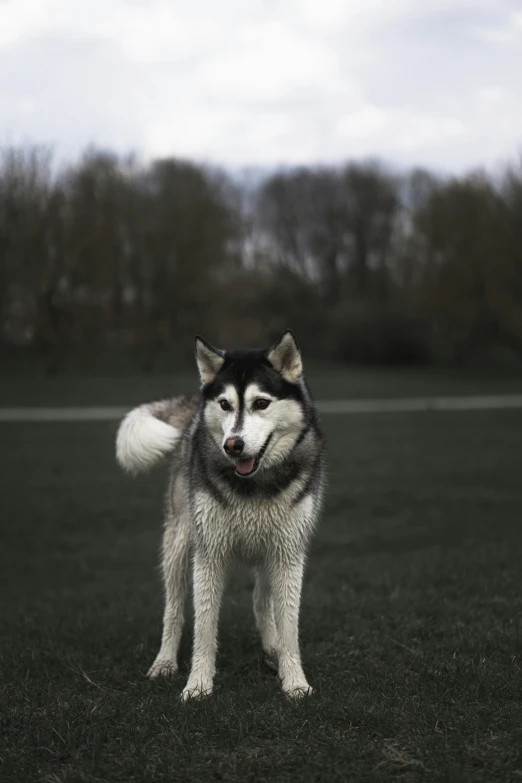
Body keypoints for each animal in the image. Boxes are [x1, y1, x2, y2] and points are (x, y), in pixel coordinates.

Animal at [116, 330, 322, 700]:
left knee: (261, 600)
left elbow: (288, 624)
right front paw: (198, 683)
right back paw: (164, 661)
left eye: (261, 403)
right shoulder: (208, 552)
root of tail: (194, 414)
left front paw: (295, 680)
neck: (254, 485)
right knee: (174, 608)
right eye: (225, 404)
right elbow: (204, 625)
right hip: (179, 541)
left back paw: (271, 649)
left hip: (268, 551)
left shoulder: (288, 551)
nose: (233, 445)